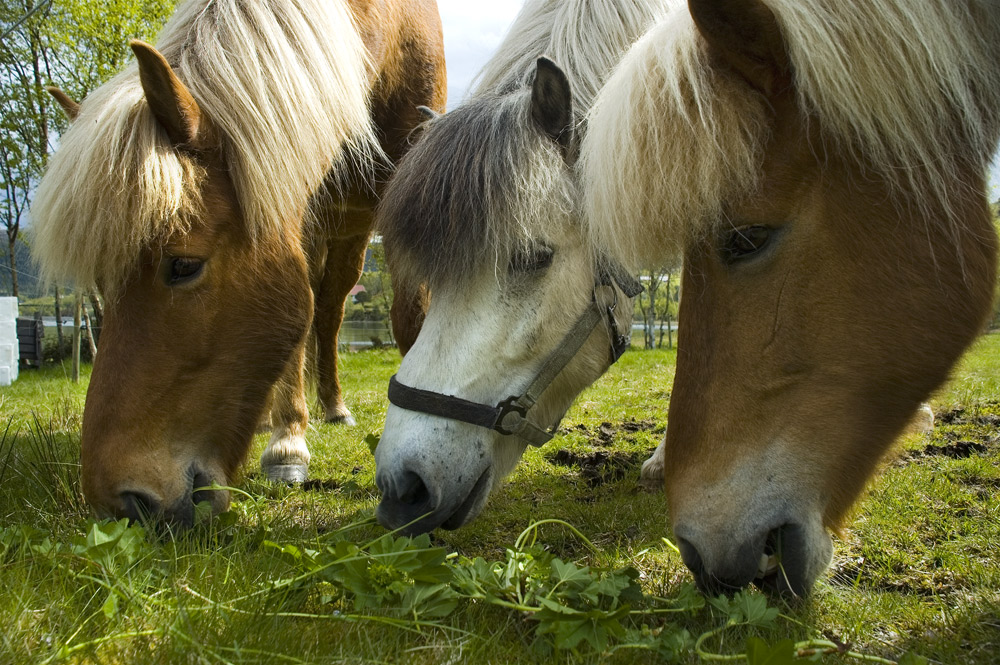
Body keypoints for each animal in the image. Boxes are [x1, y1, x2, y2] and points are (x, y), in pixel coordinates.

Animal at [32, 0, 446, 524]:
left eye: (183, 265)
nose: (121, 502)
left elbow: (410, 315)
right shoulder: (288, 195)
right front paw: (288, 445)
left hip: (351, 234)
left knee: (330, 312)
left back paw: (334, 407)